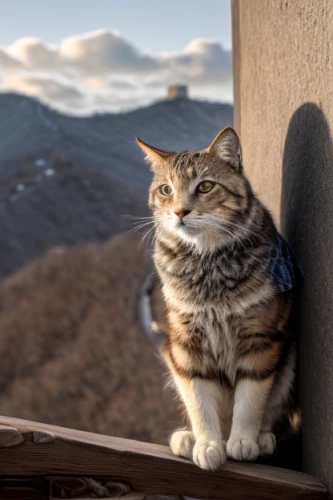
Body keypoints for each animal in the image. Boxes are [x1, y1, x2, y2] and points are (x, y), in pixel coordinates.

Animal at [136, 127, 300, 470]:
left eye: (205, 186)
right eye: (166, 190)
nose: (180, 212)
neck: (207, 264)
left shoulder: (260, 339)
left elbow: (251, 399)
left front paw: (244, 440)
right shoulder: (186, 346)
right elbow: (199, 399)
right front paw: (207, 443)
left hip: (288, 354)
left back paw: (261, 440)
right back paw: (188, 439)